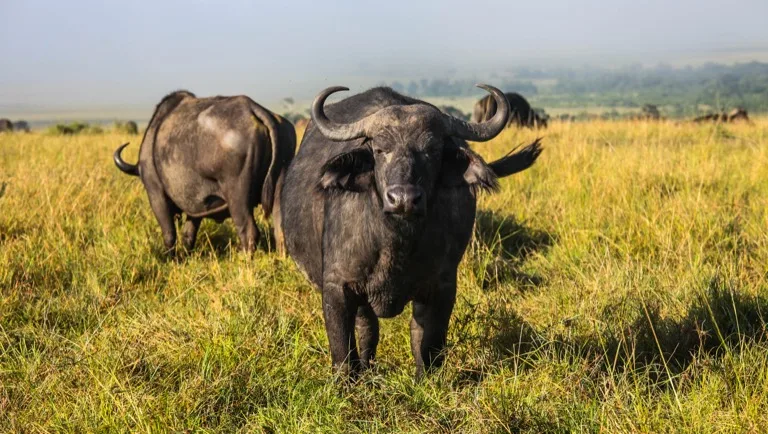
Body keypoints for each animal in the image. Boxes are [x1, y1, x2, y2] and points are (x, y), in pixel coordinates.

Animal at [114, 90, 296, 254]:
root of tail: (254, 109)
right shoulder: (196, 205)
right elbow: (188, 234)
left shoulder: (156, 194)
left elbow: (169, 234)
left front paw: (170, 258)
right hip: (280, 186)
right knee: (281, 230)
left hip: (237, 197)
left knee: (248, 231)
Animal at [279, 85, 542, 376]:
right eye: (380, 149)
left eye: (432, 149)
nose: (403, 199)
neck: (396, 242)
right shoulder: (337, 286)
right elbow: (342, 348)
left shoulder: (442, 287)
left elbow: (427, 343)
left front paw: (425, 379)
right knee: (366, 327)